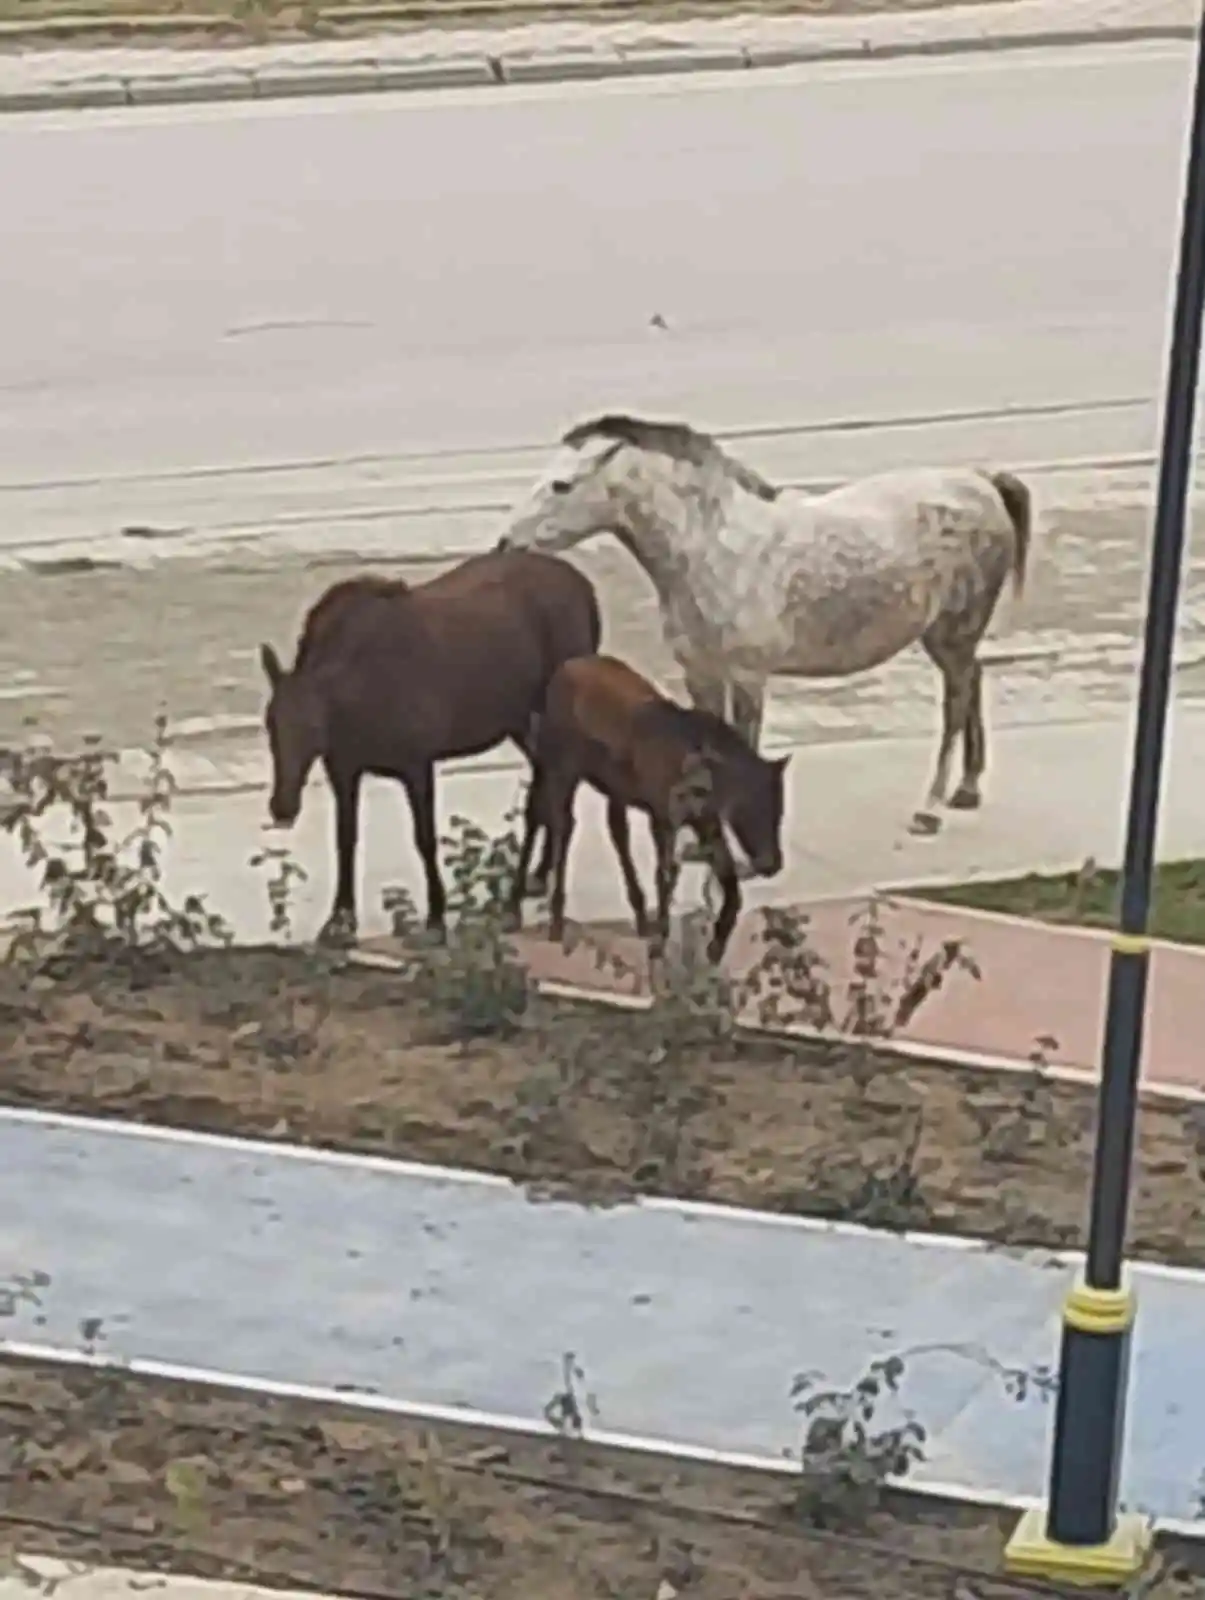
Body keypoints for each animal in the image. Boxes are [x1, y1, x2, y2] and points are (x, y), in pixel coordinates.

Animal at [262, 556, 601, 940]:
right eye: (269, 723)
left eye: (314, 729)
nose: (282, 806)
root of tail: (588, 592)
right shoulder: (343, 767)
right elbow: (345, 838)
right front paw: (339, 919)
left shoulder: (417, 762)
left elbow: (425, 839)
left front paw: (436, 916)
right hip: (523, 725)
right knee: (548, 796)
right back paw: (539, 874)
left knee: (545, 800)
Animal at [492, 412, 1030, 838]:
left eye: (562, 485)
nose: (506, 544)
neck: (712, 548)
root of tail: (984, 484)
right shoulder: (701, 673)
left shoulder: (748, 676)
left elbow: (742, 743)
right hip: (949, 638)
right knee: (973, 680)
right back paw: (967, 789)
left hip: (954, 630)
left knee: (955, 703)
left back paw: (930, 808)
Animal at [508, 652, 790, 960]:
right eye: (750, 810)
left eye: (780, 811)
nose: (772, 864)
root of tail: (561, 670)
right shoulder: (664, 818)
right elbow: (665, 874)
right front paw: (660, 942)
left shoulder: (707, 821)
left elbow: (728, 879)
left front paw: (716, 946)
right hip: (560, 767)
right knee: (558, 822)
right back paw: (551, 919)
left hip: (608, 785)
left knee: (609, 830)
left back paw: (638, 916)